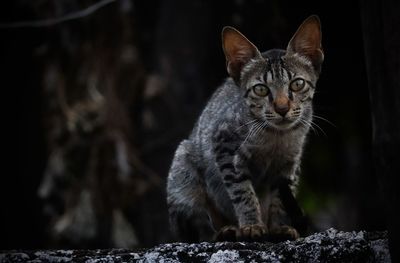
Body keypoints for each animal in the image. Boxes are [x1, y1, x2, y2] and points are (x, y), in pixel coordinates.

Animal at [167, 15, 324, 243]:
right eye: (261, 89)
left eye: (297, 84)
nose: (282, 108)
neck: (276, 137)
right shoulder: (225, 147)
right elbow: (243, 192)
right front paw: (251, 225)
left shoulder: (290, 165)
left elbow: (280, 200)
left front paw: (278, 227)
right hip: (183, 172)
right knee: (197, 227)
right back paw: (224, 231)